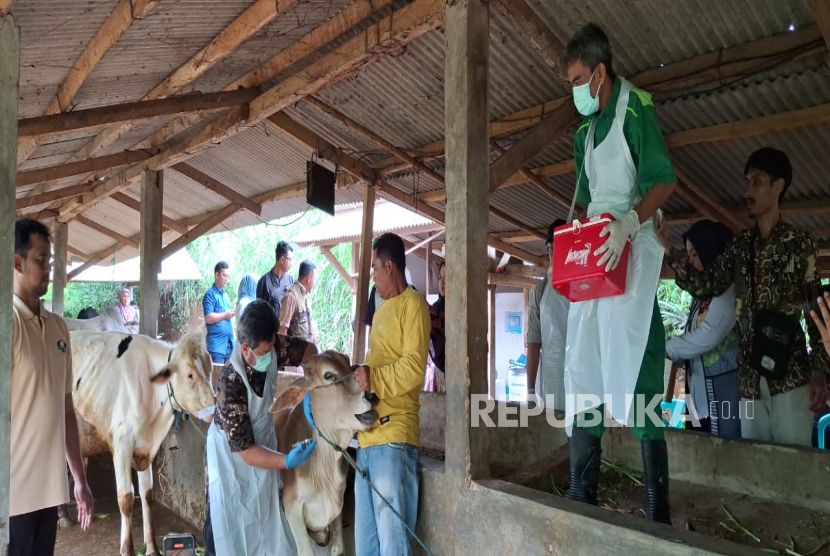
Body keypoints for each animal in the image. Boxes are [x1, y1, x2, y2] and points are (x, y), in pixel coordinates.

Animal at [72, 330, 216, 556]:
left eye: (211, 369)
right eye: (190, 375)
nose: (214, 408)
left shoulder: (146, 448)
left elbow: (147, 494)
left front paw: (152, 548)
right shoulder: (121, 443)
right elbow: (126, 498)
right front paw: (127, 549)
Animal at [272, 352, 378, 556]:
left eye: (350, 365)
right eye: (328, 375)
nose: (371, 394)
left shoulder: (337, 503)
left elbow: (337, 548)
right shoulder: (291, 505)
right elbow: (306, 551)